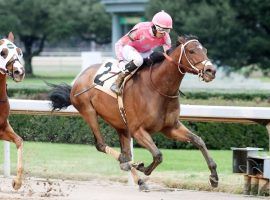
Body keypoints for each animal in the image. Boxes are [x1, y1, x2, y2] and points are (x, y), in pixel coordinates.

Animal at [48, 35, 218, 191]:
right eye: (191, 51)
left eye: (205, 50)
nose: (211, 71)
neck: (159, 87)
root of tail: (78, 79)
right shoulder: (138, 130)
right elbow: (158, 155)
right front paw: (142, 167)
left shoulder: (170, 127)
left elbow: (198, 140)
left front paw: (214, 176)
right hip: (88, 111)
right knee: (102, 145)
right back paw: (129, 165)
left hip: (120, 124)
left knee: (125, 152)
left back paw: (136, 176)